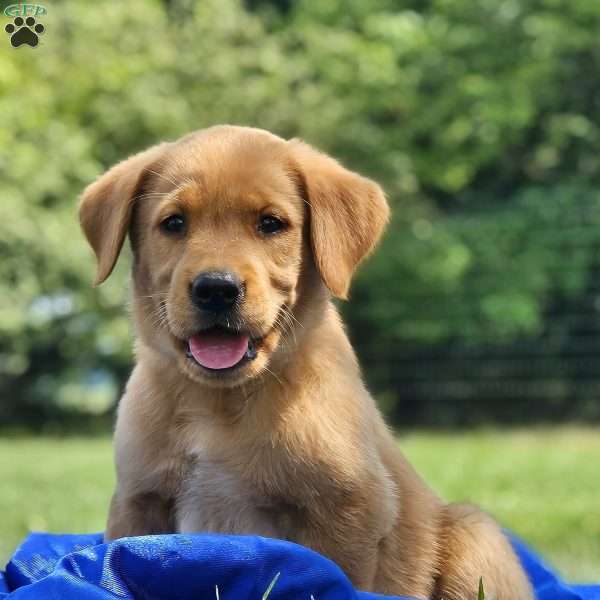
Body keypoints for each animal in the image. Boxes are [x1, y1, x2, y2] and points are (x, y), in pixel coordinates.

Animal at [81, 126, 536, 600]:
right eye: (174, 223)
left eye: (270, 223)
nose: (216, 288)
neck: (221, 404)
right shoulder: (138, 502)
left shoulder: (348, 510)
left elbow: (335, 578)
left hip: (475, 531)